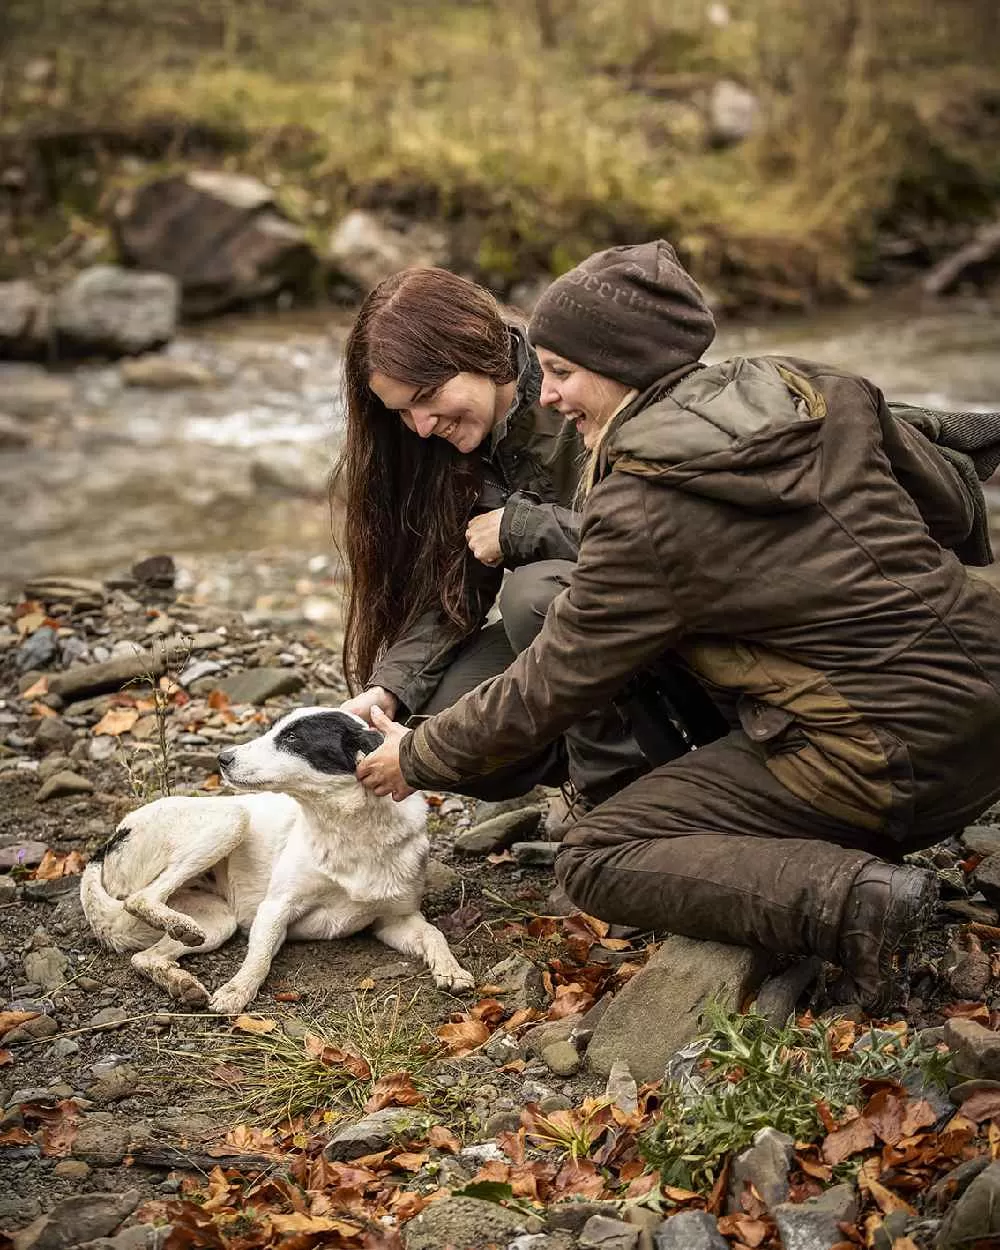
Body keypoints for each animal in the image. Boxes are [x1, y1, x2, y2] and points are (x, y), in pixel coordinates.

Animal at [80, 710, 475, 1010]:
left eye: (293, 739)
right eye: (273, 730)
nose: (222, 758)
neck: (348, 832)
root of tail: (105, 846)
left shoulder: (393, 920)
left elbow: (434, 933)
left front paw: (451, 969)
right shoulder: (275, 907)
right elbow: (258, 959)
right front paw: (237, 992)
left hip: (217, 921)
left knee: (145, 956)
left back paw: (181, 979)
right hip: (231, 819)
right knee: (140, 899)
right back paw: (176, 931)